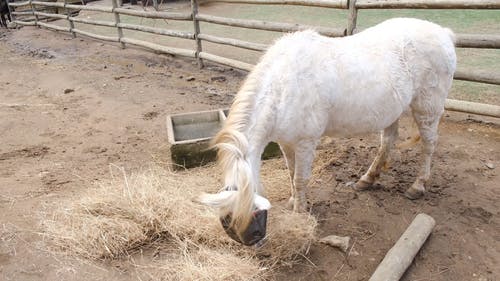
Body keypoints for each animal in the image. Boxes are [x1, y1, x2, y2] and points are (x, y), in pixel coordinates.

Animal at [199, 18, 458, 245]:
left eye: (251, 215)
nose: (253, 240)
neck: (283, 88)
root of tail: (444, 33)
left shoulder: (306, 141)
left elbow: (300, 178)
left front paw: (300, 212)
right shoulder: (285, 142)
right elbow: (291, 172)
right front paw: (293, 201)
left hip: (427, 107)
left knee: (428, 144)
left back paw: (418, 185)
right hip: (391, 111)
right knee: (388, 142)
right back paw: (366, 180)